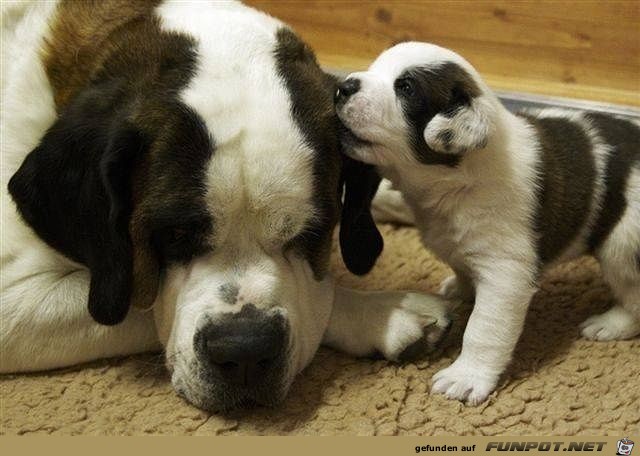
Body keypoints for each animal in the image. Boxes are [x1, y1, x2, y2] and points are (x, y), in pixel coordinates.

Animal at [0, 0, 452, 414]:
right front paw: (383, 311)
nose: (246, 350)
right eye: (174, 235)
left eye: (309, 234)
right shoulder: (15, 300)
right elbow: (142, 303)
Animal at [338, 42, 636, 404]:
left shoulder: (506, 272)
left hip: (623, 245)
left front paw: (466, 376)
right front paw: (461, 287)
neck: (456, 182)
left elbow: (484, 328)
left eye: (406, 88)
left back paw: (611, 323)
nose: (342, 87)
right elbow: (462, 265)